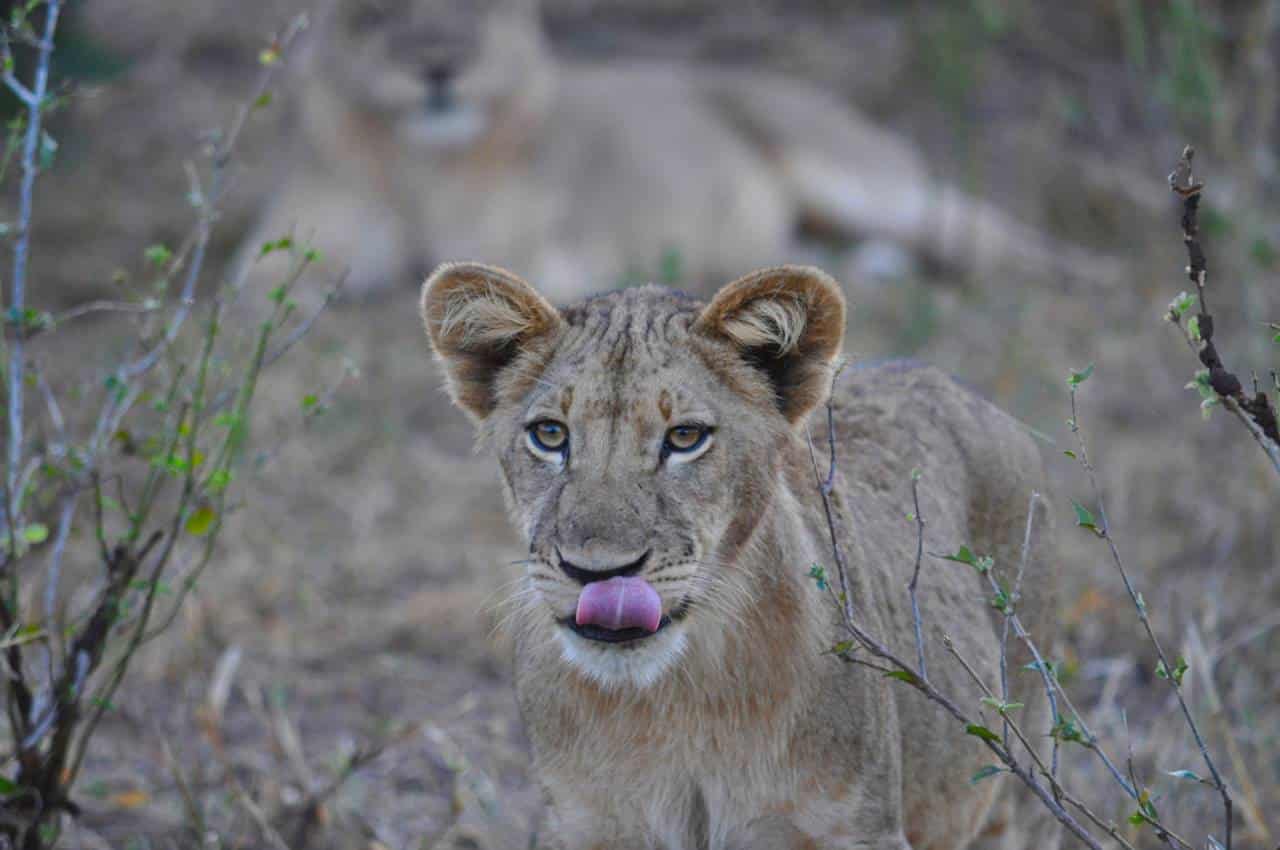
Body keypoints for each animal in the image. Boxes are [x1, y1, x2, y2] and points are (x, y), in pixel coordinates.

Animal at [240, 0, 1121, 302]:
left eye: (474, 12)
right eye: (378, 14)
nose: (437, 66)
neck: (418, 164)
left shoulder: (560, 248)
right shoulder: (284, 242)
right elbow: (274, 281)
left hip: (859, 175)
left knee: (984, 230)